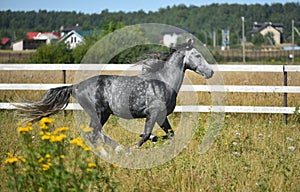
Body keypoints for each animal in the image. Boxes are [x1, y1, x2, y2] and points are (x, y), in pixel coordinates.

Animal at [17, 39, 213, 147]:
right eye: (197, 55)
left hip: (103, 114)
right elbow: (146, 134)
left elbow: (170, 135)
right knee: (95, 134)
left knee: (95, 135)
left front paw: (154, 138)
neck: (164, 81)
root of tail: (76, 86)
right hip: (99, 112)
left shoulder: (161, 116)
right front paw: (137, 146)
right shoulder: (153, 113)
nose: (210, 72)